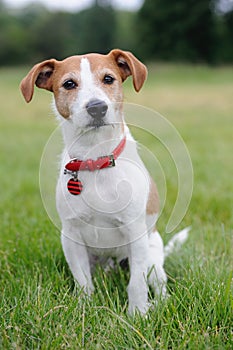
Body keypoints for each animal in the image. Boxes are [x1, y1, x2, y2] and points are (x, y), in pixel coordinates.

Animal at [20, 48, 189, 314]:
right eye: (69, 84)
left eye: (108, 79)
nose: (97, 108)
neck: (95, 159)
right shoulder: (71, 236)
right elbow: (83, 282)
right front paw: (84, 309)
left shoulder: (135, 233)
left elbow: (136, 283)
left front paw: (138, 314)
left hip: (152, 255)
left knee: (158, 282)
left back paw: (158, 303)